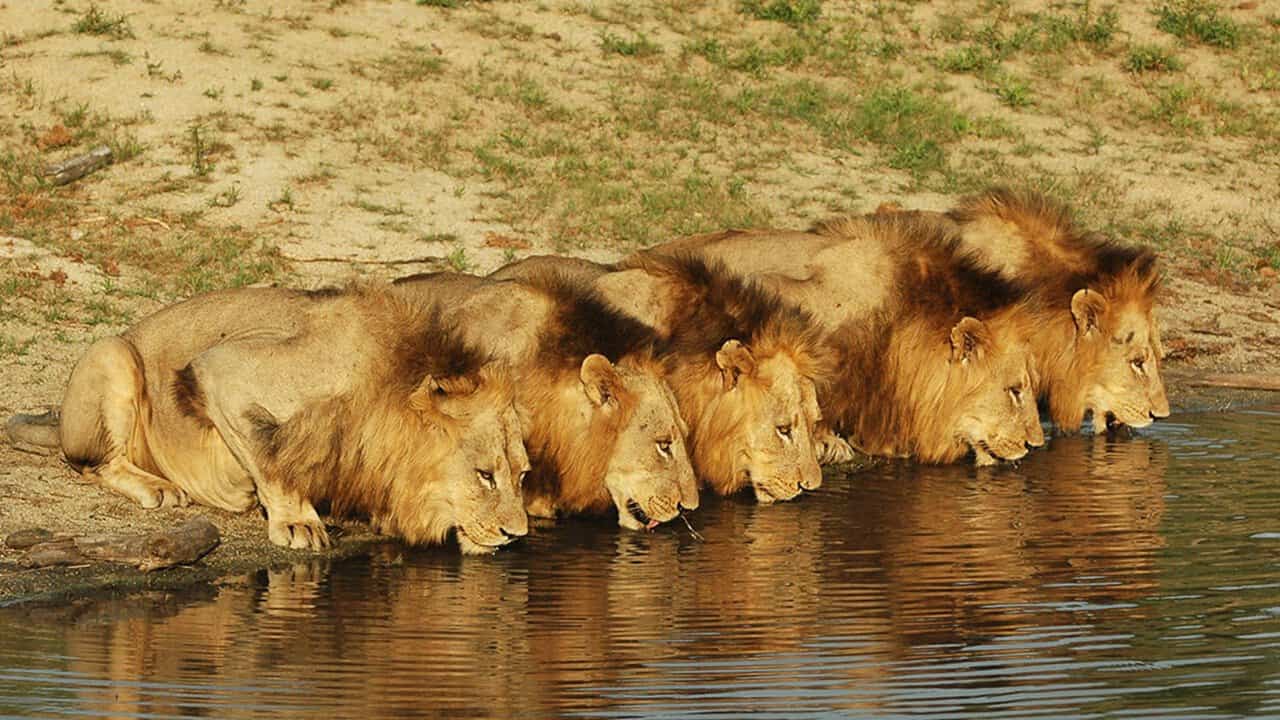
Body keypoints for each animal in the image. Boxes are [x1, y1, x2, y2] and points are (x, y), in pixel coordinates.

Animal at [38, 284, 529, 553]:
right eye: (485, 475)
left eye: (523, 475)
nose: (517, 535)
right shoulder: (223, 369)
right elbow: (270, 456)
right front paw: (298, 523)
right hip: (114, 352)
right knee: (96, 464)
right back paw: (159, 488)